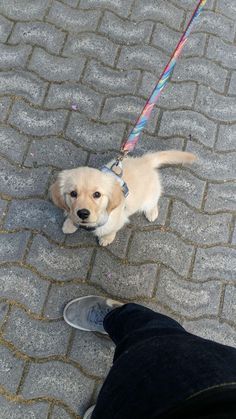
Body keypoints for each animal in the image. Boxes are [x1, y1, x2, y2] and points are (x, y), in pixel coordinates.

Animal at [49, 152, 195, 246]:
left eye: (97, 194)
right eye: (73, 193)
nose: (83, 213)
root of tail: (145, 161)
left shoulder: (118, 220)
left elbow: (111, 229)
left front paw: (107, 238)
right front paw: (70, 224)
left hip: (150, 196)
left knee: (153, 202)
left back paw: (152, 212)